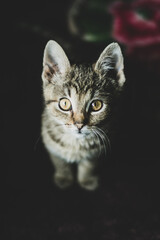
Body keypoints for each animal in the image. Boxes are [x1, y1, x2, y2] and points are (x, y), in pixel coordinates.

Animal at [41, 40, 125, 190]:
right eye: (64, 104)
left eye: (96, 105)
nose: (79, 125)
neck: (75, 142)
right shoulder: (49, 139)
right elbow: (58, 160)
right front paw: (63, 177)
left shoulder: (99, 148)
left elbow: (90, 164)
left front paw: (87, 179)